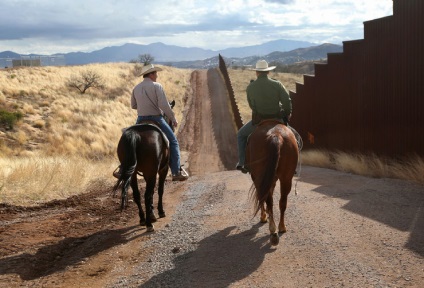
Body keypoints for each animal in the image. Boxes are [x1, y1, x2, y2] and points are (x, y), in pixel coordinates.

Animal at [112, 101, 175, 232]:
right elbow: (160, 190)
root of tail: (135, 134)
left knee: (137, 195)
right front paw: (160, 212)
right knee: (146, 195)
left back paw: (142, 219)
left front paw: (152, 214)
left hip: (133, 174)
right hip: (152, 172)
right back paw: (149, 224)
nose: (173, 126)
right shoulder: (162, 169)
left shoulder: (147, 173)